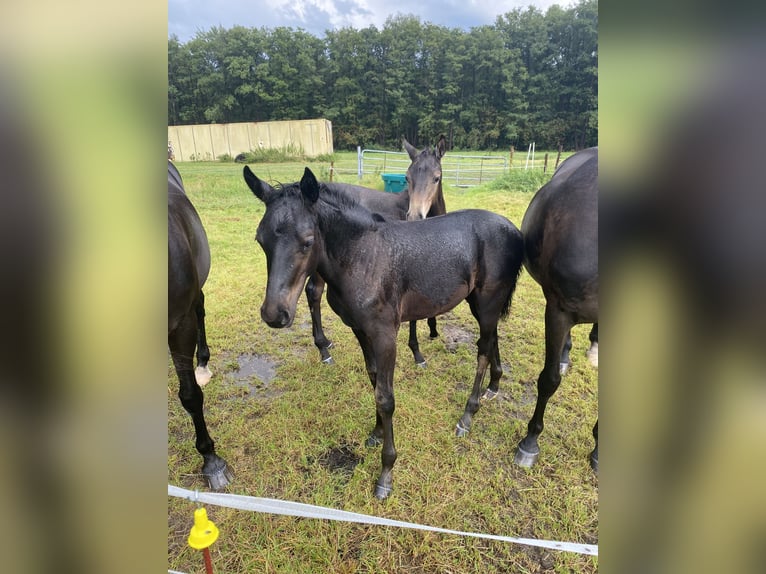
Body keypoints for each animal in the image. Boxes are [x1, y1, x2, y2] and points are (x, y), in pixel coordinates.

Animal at [246, 165, 528, 500]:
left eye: (307, 240)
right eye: (260, 240)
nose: (274, 314)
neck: (362, 257)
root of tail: (514, 231)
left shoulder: (385, 335)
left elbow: (386, 397)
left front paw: (385, 474)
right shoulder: (360, 330)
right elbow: (373, 379)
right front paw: (377, 432)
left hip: (487, 301)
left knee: (483, 351)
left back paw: (467, 416)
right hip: (480, 303)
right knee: (492, 338)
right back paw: (494, 386)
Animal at [304, 137, 450, 366]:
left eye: (437, 178)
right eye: (407, 178)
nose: (414, 216)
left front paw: (433, 330)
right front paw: (417, 353)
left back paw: (325, 343)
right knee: (314, 292)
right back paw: (323, 350)